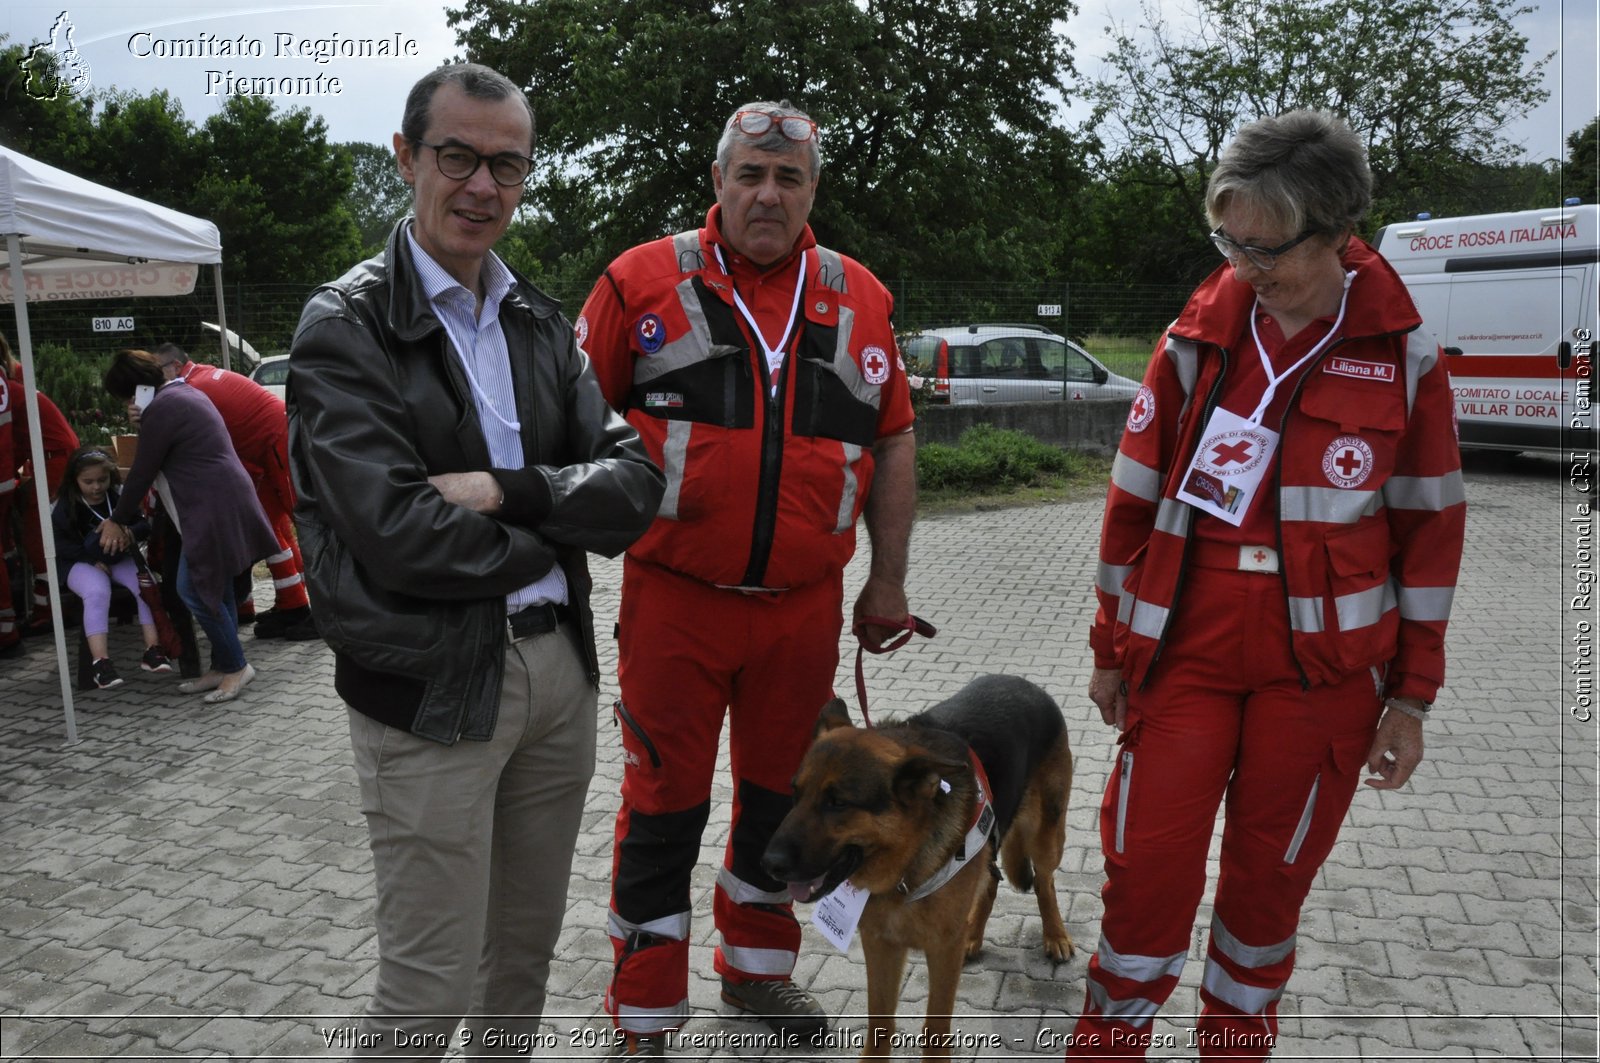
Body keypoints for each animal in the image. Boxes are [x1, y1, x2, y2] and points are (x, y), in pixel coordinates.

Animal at [761, 675, 1075, 1056]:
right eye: (795, 794)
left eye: (837, 803)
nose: (768, 864)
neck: (905, 867)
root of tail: (1024, 682)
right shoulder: (880, 944)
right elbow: (879, 1027)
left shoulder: (940, 952)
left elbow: (935, 1031)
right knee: (990, 882)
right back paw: (973, 934)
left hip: (1047, 837)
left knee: (1045, 881)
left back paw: (1055, 935)